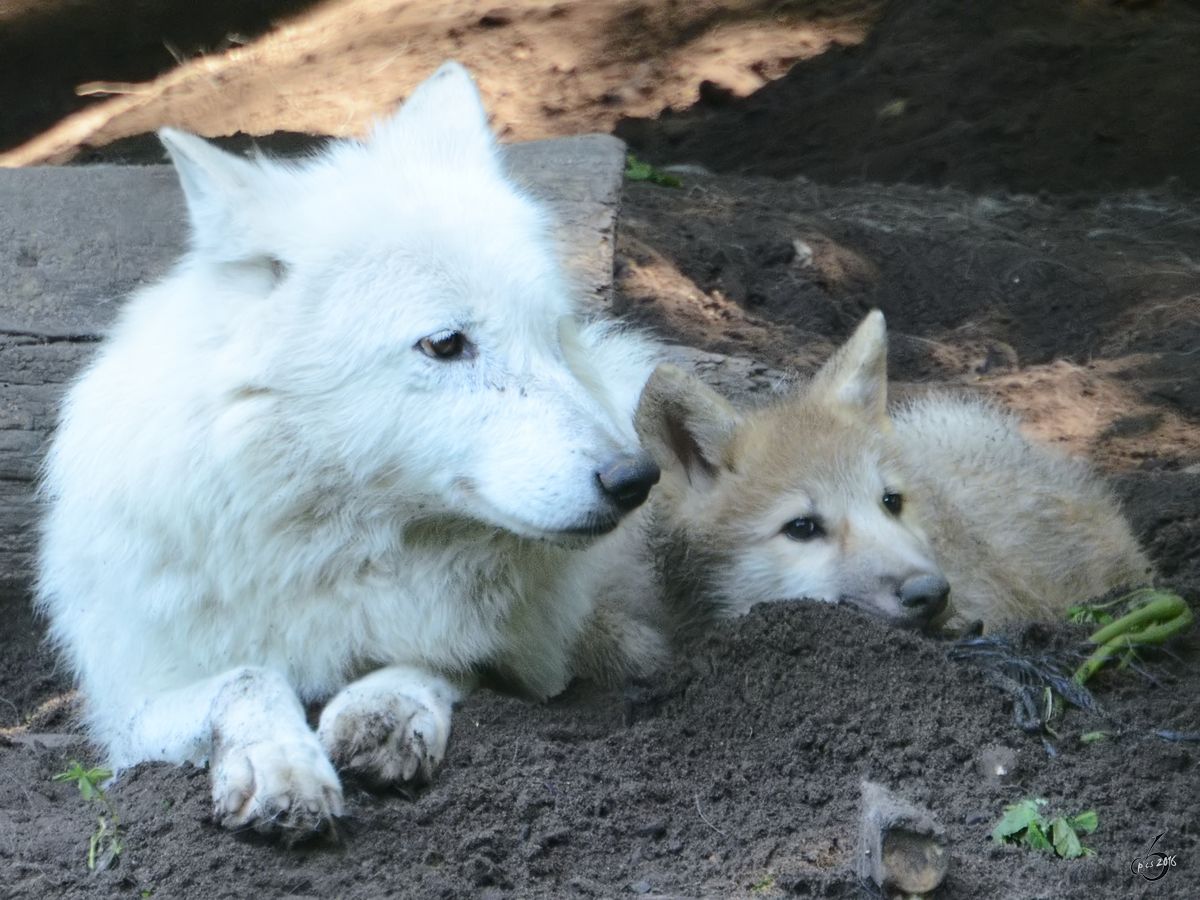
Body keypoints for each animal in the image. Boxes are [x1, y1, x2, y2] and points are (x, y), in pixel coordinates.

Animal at [35, 61, 667, 840]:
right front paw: (279, 764)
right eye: (445, 344)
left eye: (552, 335)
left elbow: (437, 659)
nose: (635, 477)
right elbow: (250, 676)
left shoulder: (513, 658)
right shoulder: (132, 705)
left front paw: (388, 709)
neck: (330, 544)